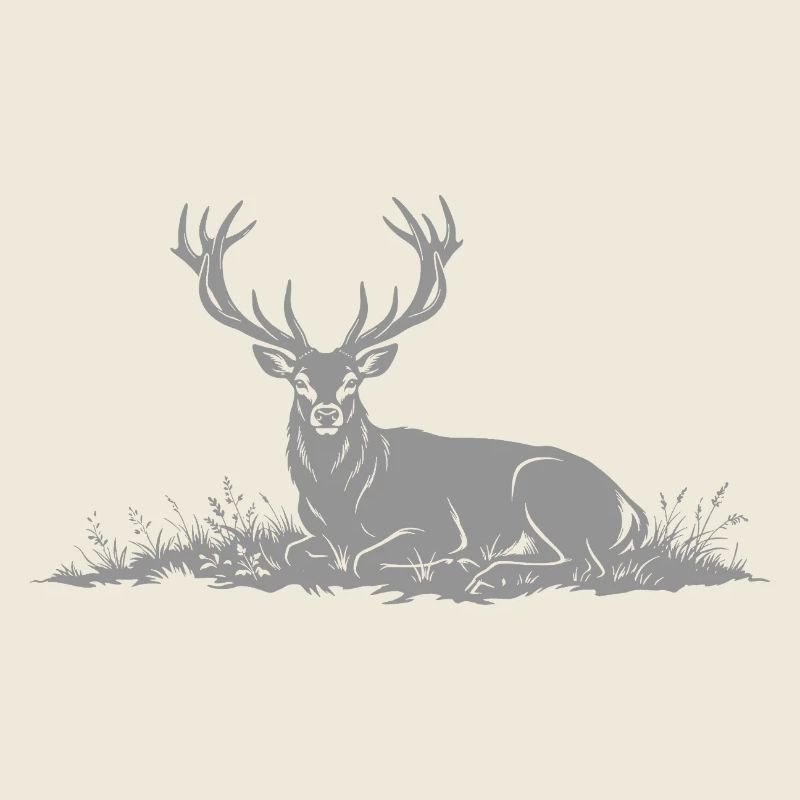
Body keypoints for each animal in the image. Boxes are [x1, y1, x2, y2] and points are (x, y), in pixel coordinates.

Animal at [171, 197, 648, 594]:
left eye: (352, 380)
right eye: (300, 380)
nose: (327, 413)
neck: (344, 500)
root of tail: (630, 508)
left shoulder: (441, 523)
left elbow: (362, 560)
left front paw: (438, 564)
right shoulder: (317, 532)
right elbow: (291, 550)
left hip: (543, 488)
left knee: (587, 565)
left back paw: (479, 571)